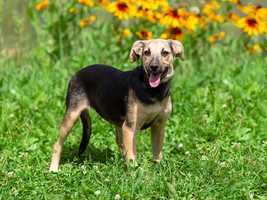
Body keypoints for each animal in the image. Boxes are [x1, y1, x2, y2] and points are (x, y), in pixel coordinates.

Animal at [49, 39, 184, 172]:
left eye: (165, 53)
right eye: (146, 52)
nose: (153, 67)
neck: (154, 91)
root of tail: (77, 73)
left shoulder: (158, 127)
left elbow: (157, 154)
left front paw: (160, 171)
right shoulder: (130, 128)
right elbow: (132, 157)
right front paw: (135, 175)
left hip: (119, 124)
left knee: (121, 144)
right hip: (72, 116)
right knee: (57, 145)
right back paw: (53, 169)